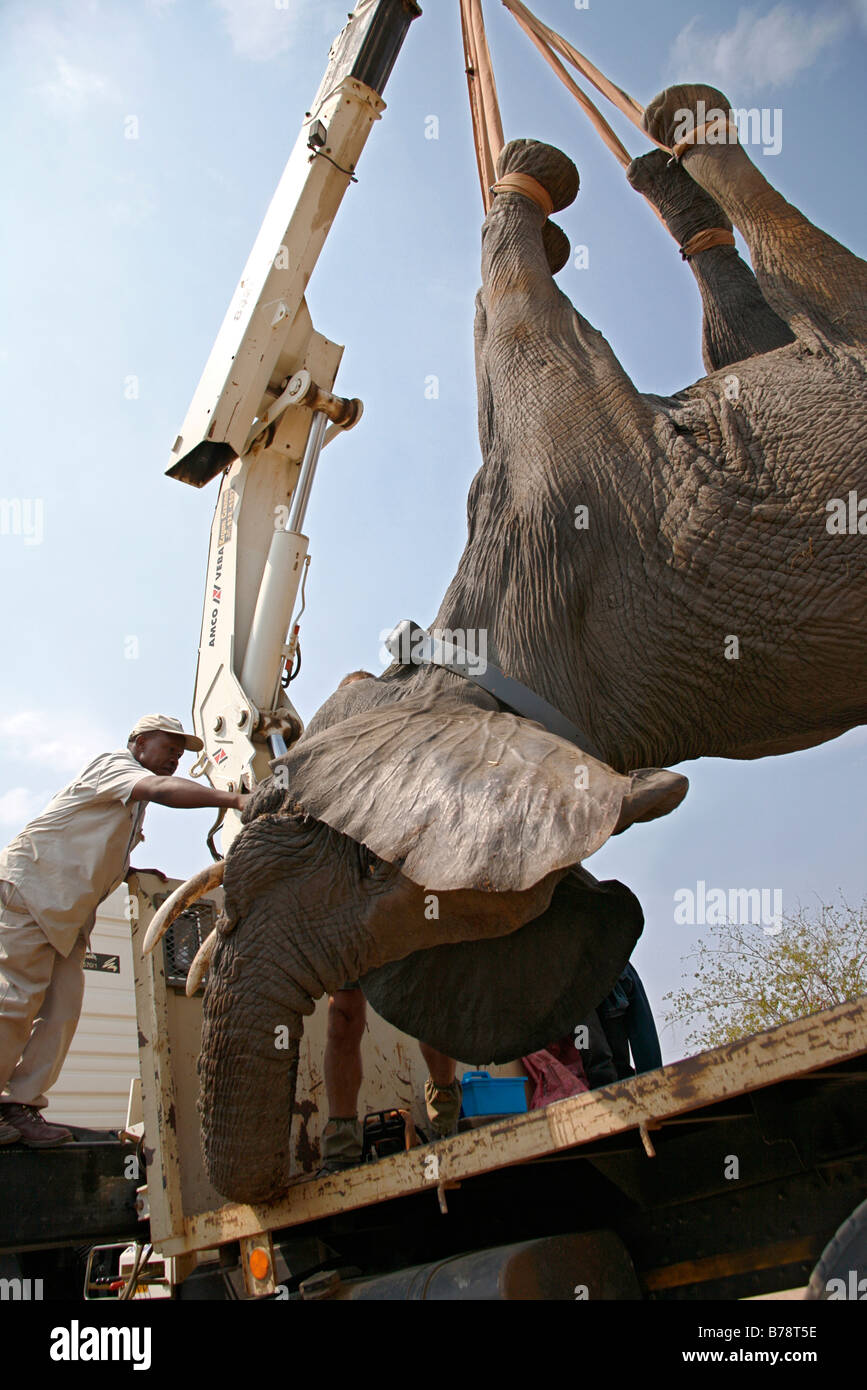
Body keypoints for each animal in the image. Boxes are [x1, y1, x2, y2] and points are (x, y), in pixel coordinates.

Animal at [152, 84, 866, 1204]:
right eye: (395, 897)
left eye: (363, 871)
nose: (268, 1196)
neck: (488, 683)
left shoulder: (572, 481)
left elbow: (510, 314)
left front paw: (530, 172)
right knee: (763, 314)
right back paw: (676, 146)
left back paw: (678, 133)